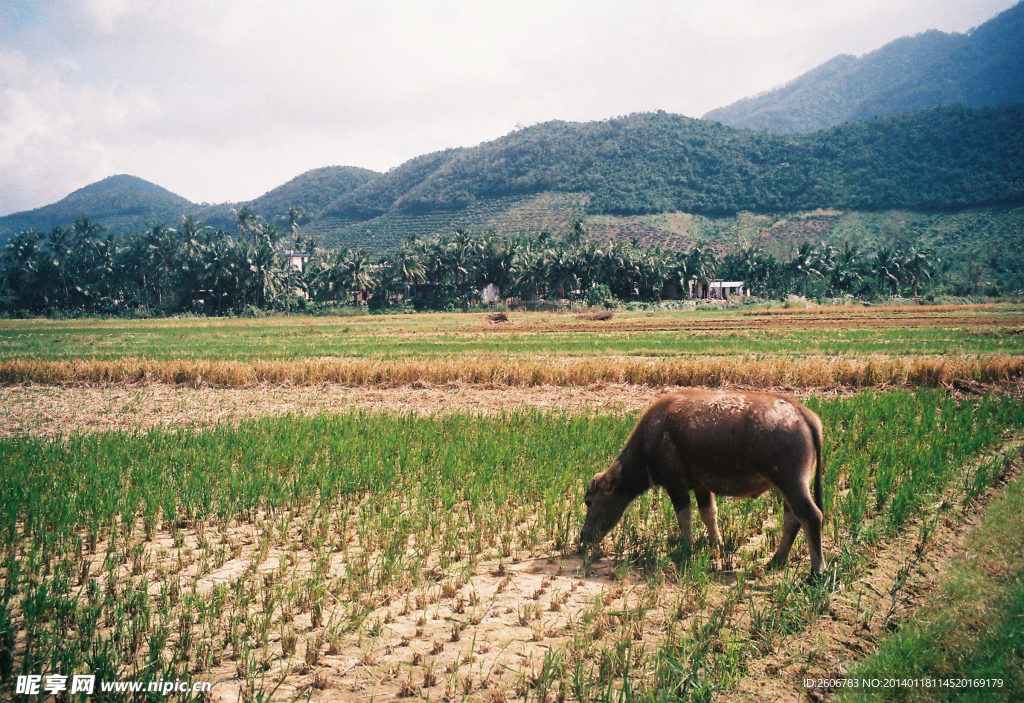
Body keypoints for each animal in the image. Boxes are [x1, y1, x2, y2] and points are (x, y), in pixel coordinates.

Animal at [581, 390, 827, 577]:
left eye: (589, 501)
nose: (583, 537)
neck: (651, 438)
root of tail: (803, 413)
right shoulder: (701, 486)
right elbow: (708, 513)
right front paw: (715, 545)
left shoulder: (675, 484)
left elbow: (684, 516)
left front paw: (685, 549)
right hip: (790, 488)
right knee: (792, 520)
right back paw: (776, 561)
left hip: (792, 483)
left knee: (812, 516)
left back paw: (817, 571)